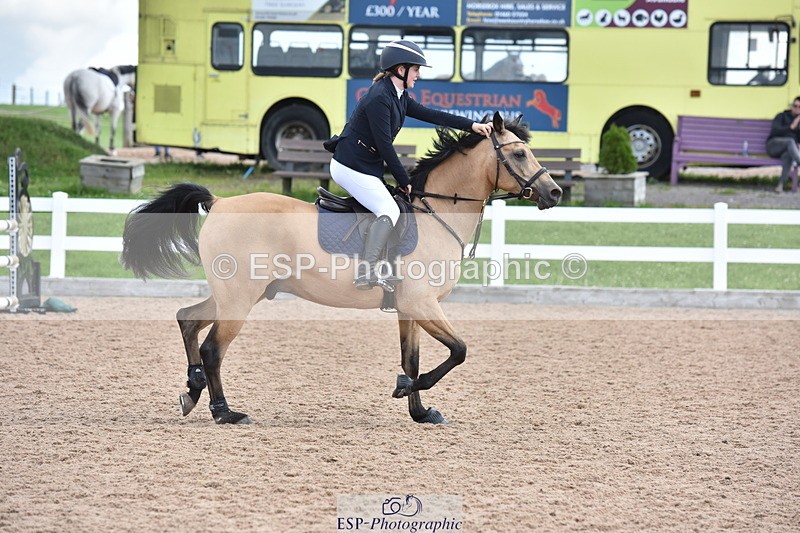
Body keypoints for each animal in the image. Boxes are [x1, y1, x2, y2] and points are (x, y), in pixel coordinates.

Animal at [120, 112, 562, 425]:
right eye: (519, 154)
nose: (554, 192)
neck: (437, 214)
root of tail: (220, 202)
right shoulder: (422, 303)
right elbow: (459, 351)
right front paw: (409, 390)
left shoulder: (410, 309)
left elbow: (413, 358)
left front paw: (420, 410)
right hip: (239, 300)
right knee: (213, 348)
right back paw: (224, 411)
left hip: (235, 294)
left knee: (187, 319)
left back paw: (192, 391)